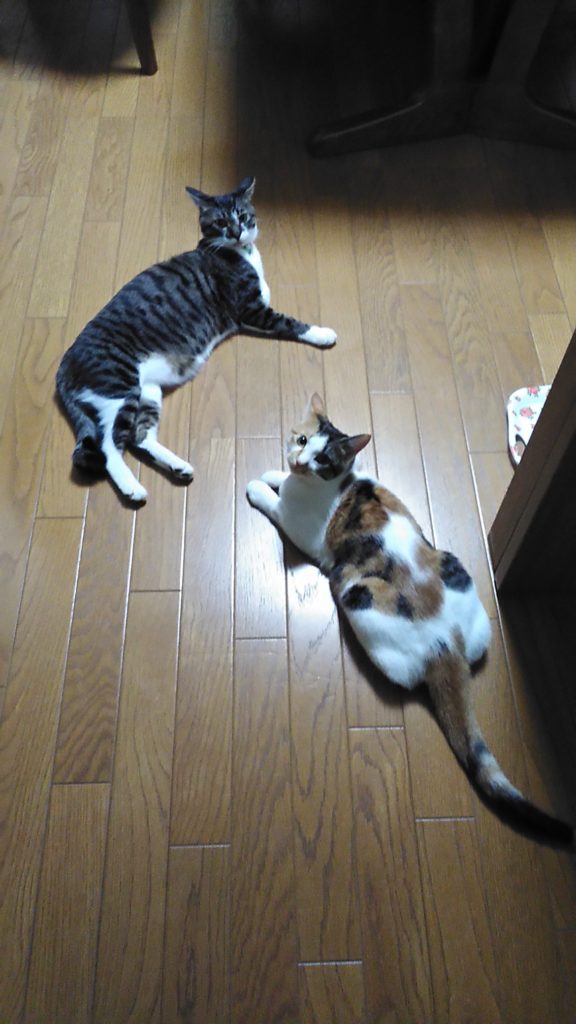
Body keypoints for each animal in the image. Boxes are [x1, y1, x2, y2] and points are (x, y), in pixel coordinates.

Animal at [56, 177, 336, 504]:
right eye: (220, 222)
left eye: (242, 215)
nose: (236, 232)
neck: (240, 253)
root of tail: (63, 368)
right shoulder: (251, 309)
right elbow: (291, 323)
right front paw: (322, 333)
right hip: (119, 387)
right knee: (109, 446)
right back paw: (132, 488)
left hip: (147, 392)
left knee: (139, 437)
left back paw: (178, 467)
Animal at [247, 393, 574, 845]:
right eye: (301, 440)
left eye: (322, 459)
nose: (298, 461)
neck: (333, 483)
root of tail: (447, 641)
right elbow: (277, 478)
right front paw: (274, 472)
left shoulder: (301, 529)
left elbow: (273, 502)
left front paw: (259, 485)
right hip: (456, 570)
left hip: (357, 600)